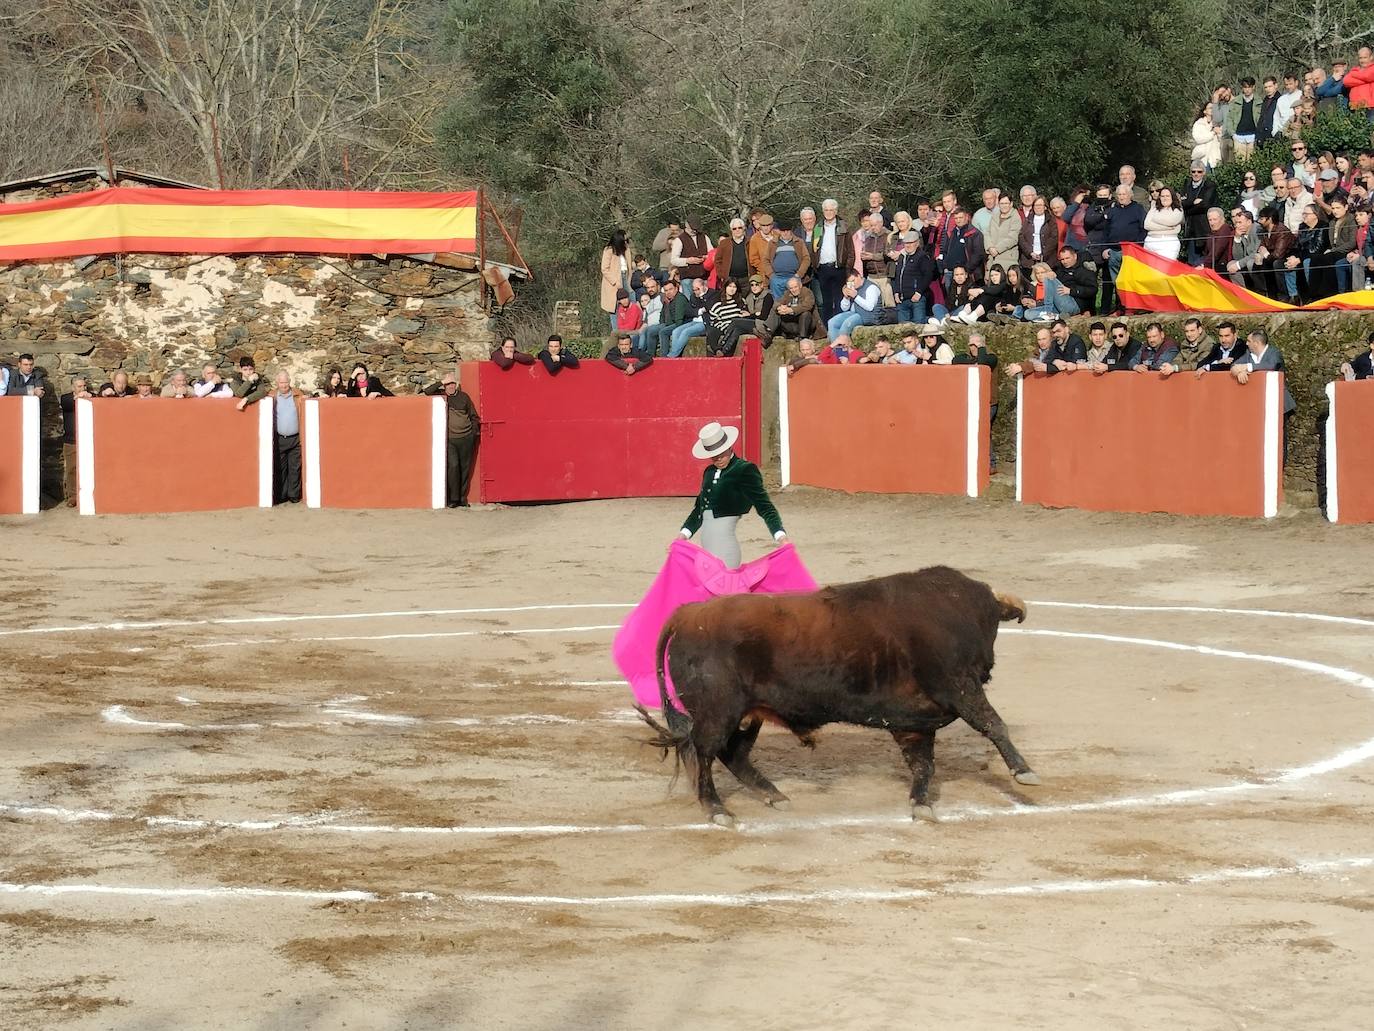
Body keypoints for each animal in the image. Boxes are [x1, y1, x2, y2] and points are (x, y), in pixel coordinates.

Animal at [637, 566, 1033, 824]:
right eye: (992, 623)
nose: (989, 664)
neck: (960, 610)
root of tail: (687, 614)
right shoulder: (960, 687)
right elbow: (993, 725)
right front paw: (1025, 773)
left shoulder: (913, 721)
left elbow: (923, 764)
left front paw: (921, 806)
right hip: (718, 712)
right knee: (700, 751)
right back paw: (717, 810)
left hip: (746, 714)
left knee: (731, 753)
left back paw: (775, 797)